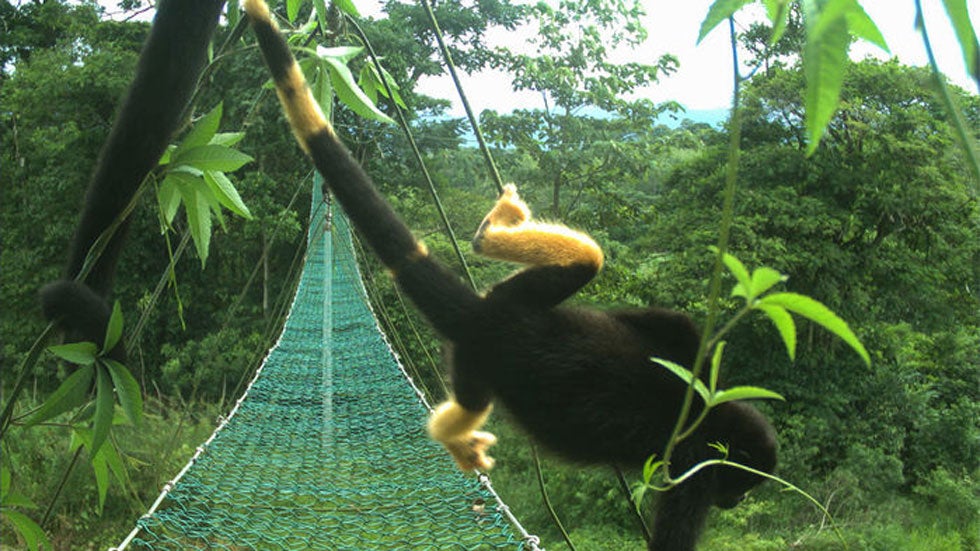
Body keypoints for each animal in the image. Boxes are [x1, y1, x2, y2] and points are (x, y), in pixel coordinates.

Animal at [243, 2, 777, 549]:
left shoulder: (689, 367)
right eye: (739, 488)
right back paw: (453, 437)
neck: (712, 420)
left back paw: (489, 234)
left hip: (513, 299)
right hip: (476, 362)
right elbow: (671, 537)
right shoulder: (695, 471)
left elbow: (673, 324)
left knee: (588, 259)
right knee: (473, 402)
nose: (736, 502)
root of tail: (482, 316)